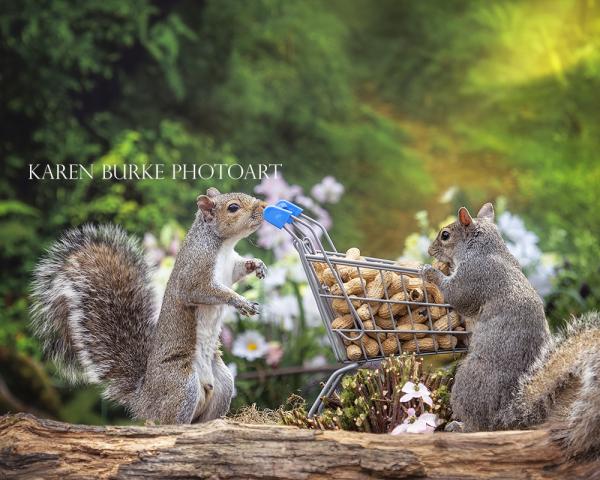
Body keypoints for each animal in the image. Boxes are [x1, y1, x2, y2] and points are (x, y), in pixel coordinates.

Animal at [30, 188, 268, 424]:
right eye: (233, 207)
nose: (264, 207)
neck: (223, 246)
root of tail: (144, 400)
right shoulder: (194, 275)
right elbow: (203, 291)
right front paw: (241, 302)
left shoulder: (231, 267)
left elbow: (239, 269)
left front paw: (257, 265)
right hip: (183, 385)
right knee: (169, 421)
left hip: (223, 384)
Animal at [422, 202, 600, 458]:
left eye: (445, 235)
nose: (429, 251)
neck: (487, 249)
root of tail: (504, 418)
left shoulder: (474, 277)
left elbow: (455, 295)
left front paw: (429, 272)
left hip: (468, 381)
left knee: (479, 428)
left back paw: (459, 427)